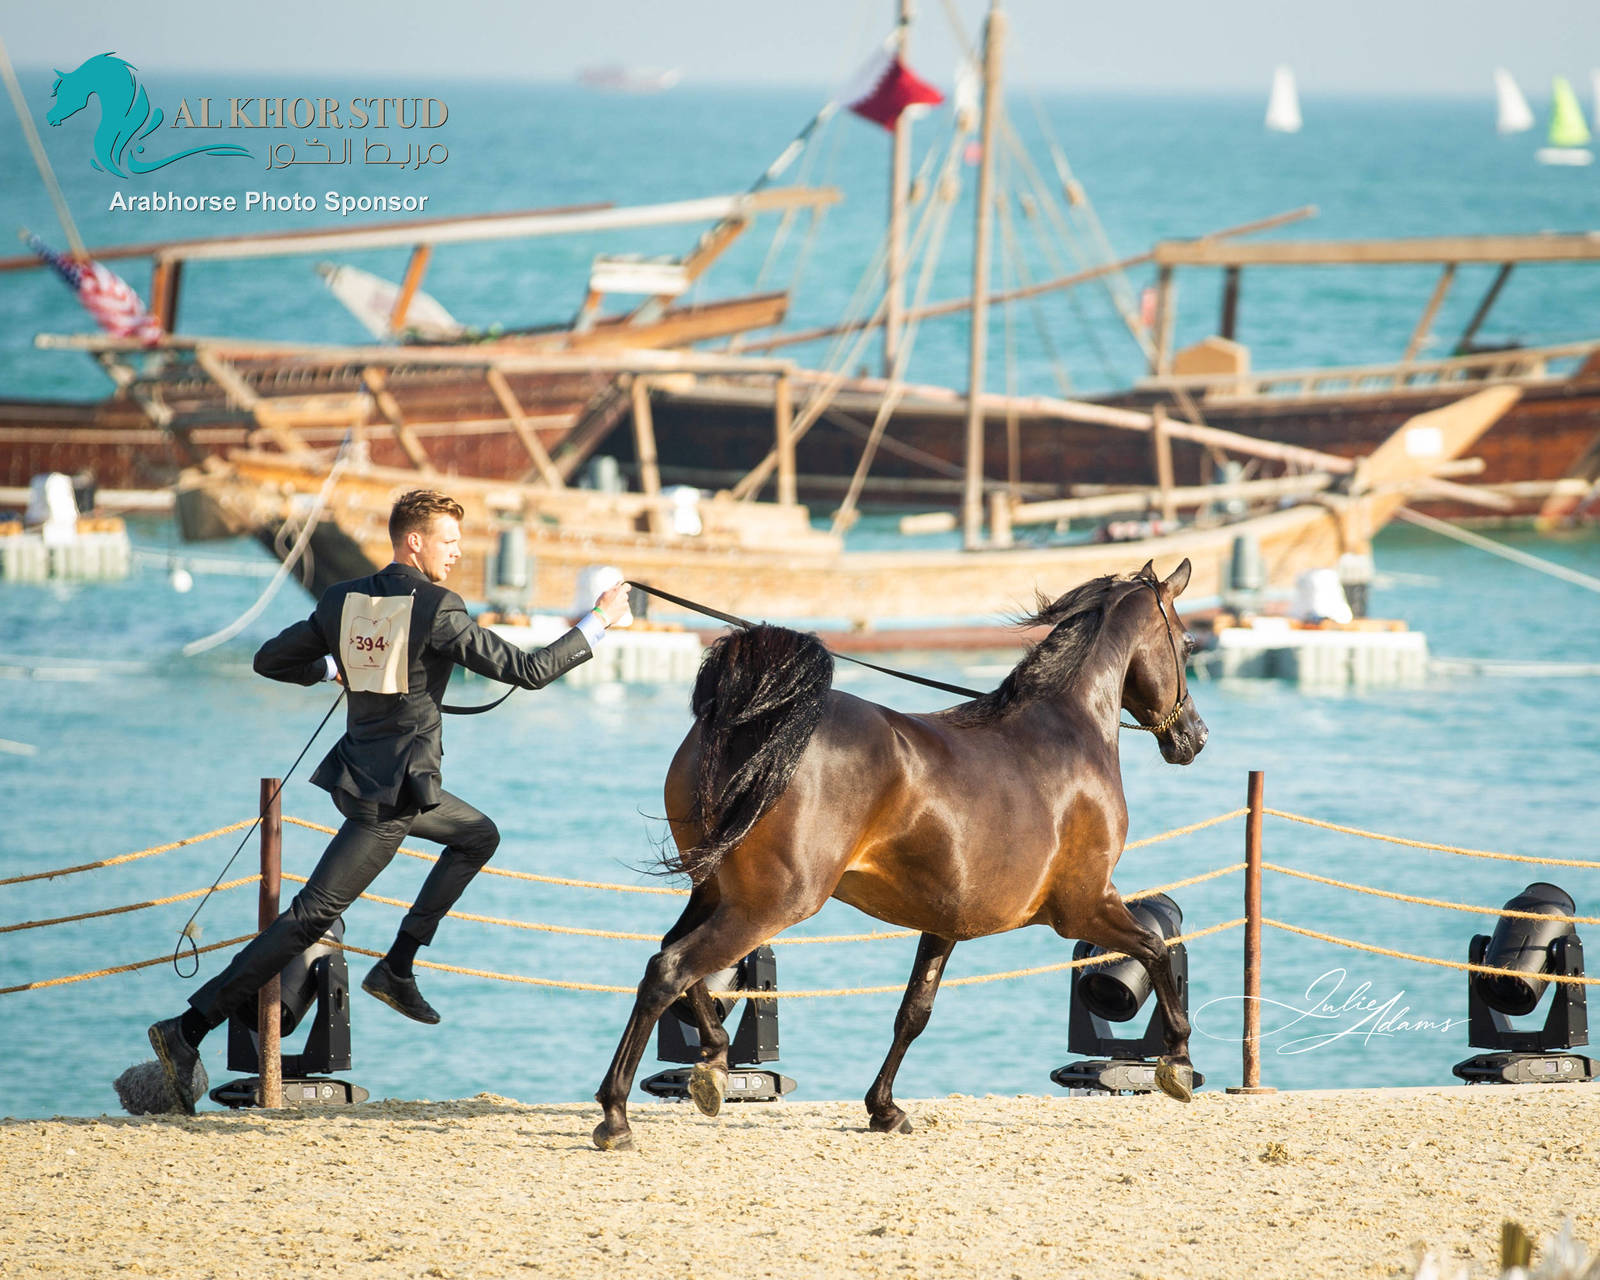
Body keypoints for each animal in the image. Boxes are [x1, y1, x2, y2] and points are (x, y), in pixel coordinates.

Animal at [593, 559, 1208, 1151]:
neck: (1068, 732)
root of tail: (750, 724)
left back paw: (711, 1066)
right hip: (772, 902)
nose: (1194, 738)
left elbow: (913, 1013)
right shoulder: (1084, 904)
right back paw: (617, 1115)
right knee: (670, 968)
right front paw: (1177, 1063)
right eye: (1186, 644)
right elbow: (1156, 949)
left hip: (715, 888)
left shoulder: (945, 923)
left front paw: (884, 1109)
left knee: (670, 956)